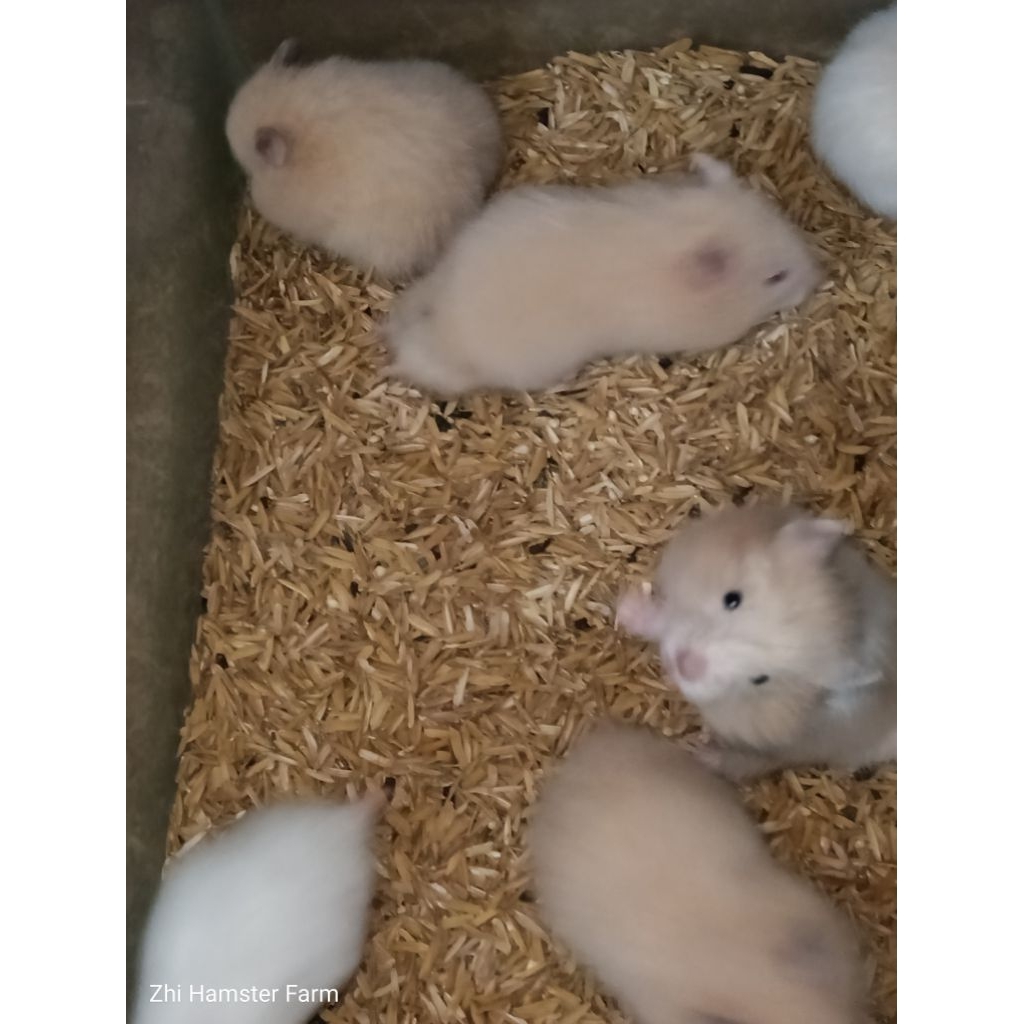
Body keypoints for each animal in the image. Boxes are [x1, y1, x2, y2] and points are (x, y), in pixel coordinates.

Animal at [616, 504, 896, 780]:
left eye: (761, 679)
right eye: (732, 599)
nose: (683, 665)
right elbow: (664, 622)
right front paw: (626, 607)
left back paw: (699, 751)